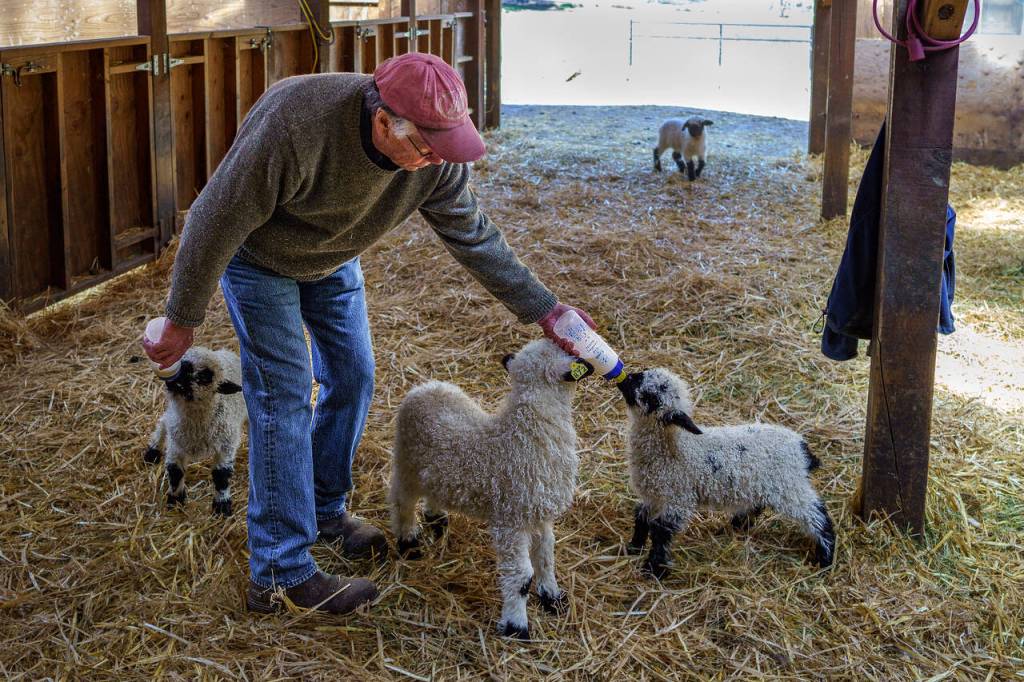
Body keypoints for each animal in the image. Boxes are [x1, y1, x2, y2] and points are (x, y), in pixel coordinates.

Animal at [143, 346, 246, 516]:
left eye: (205, 375)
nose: (176, 374)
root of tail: (225, 352)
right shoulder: (176, 444)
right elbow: (175, 472)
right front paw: (175, 500)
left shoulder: (226, 446)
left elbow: (221, 475)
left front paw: (222, 505)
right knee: (163, 421)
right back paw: (152, 451)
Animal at [389, 339, 592, 639]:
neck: (526, 432)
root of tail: (424, 387)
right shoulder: (510, 520)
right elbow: (521, 576)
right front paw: (516, 626)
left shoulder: (539, 515)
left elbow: (546, 557)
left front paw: (552, 598)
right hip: (405, 462)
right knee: (401, 501)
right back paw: (408, 542)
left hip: (433, 471)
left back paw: (436, 517)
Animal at [617, 368, 835, 577]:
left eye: (654, 397)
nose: (626, 378)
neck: (674, 446)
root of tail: (802, 448)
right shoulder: (654, 496)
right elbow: (641, 518)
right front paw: (634, 547)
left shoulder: (678, 499)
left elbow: (661, 533)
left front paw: (653, 569)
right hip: (763, 484)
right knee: (759, 504)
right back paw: (736, 525)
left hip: (789, 487)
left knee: (817, 515)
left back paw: (825, 558)